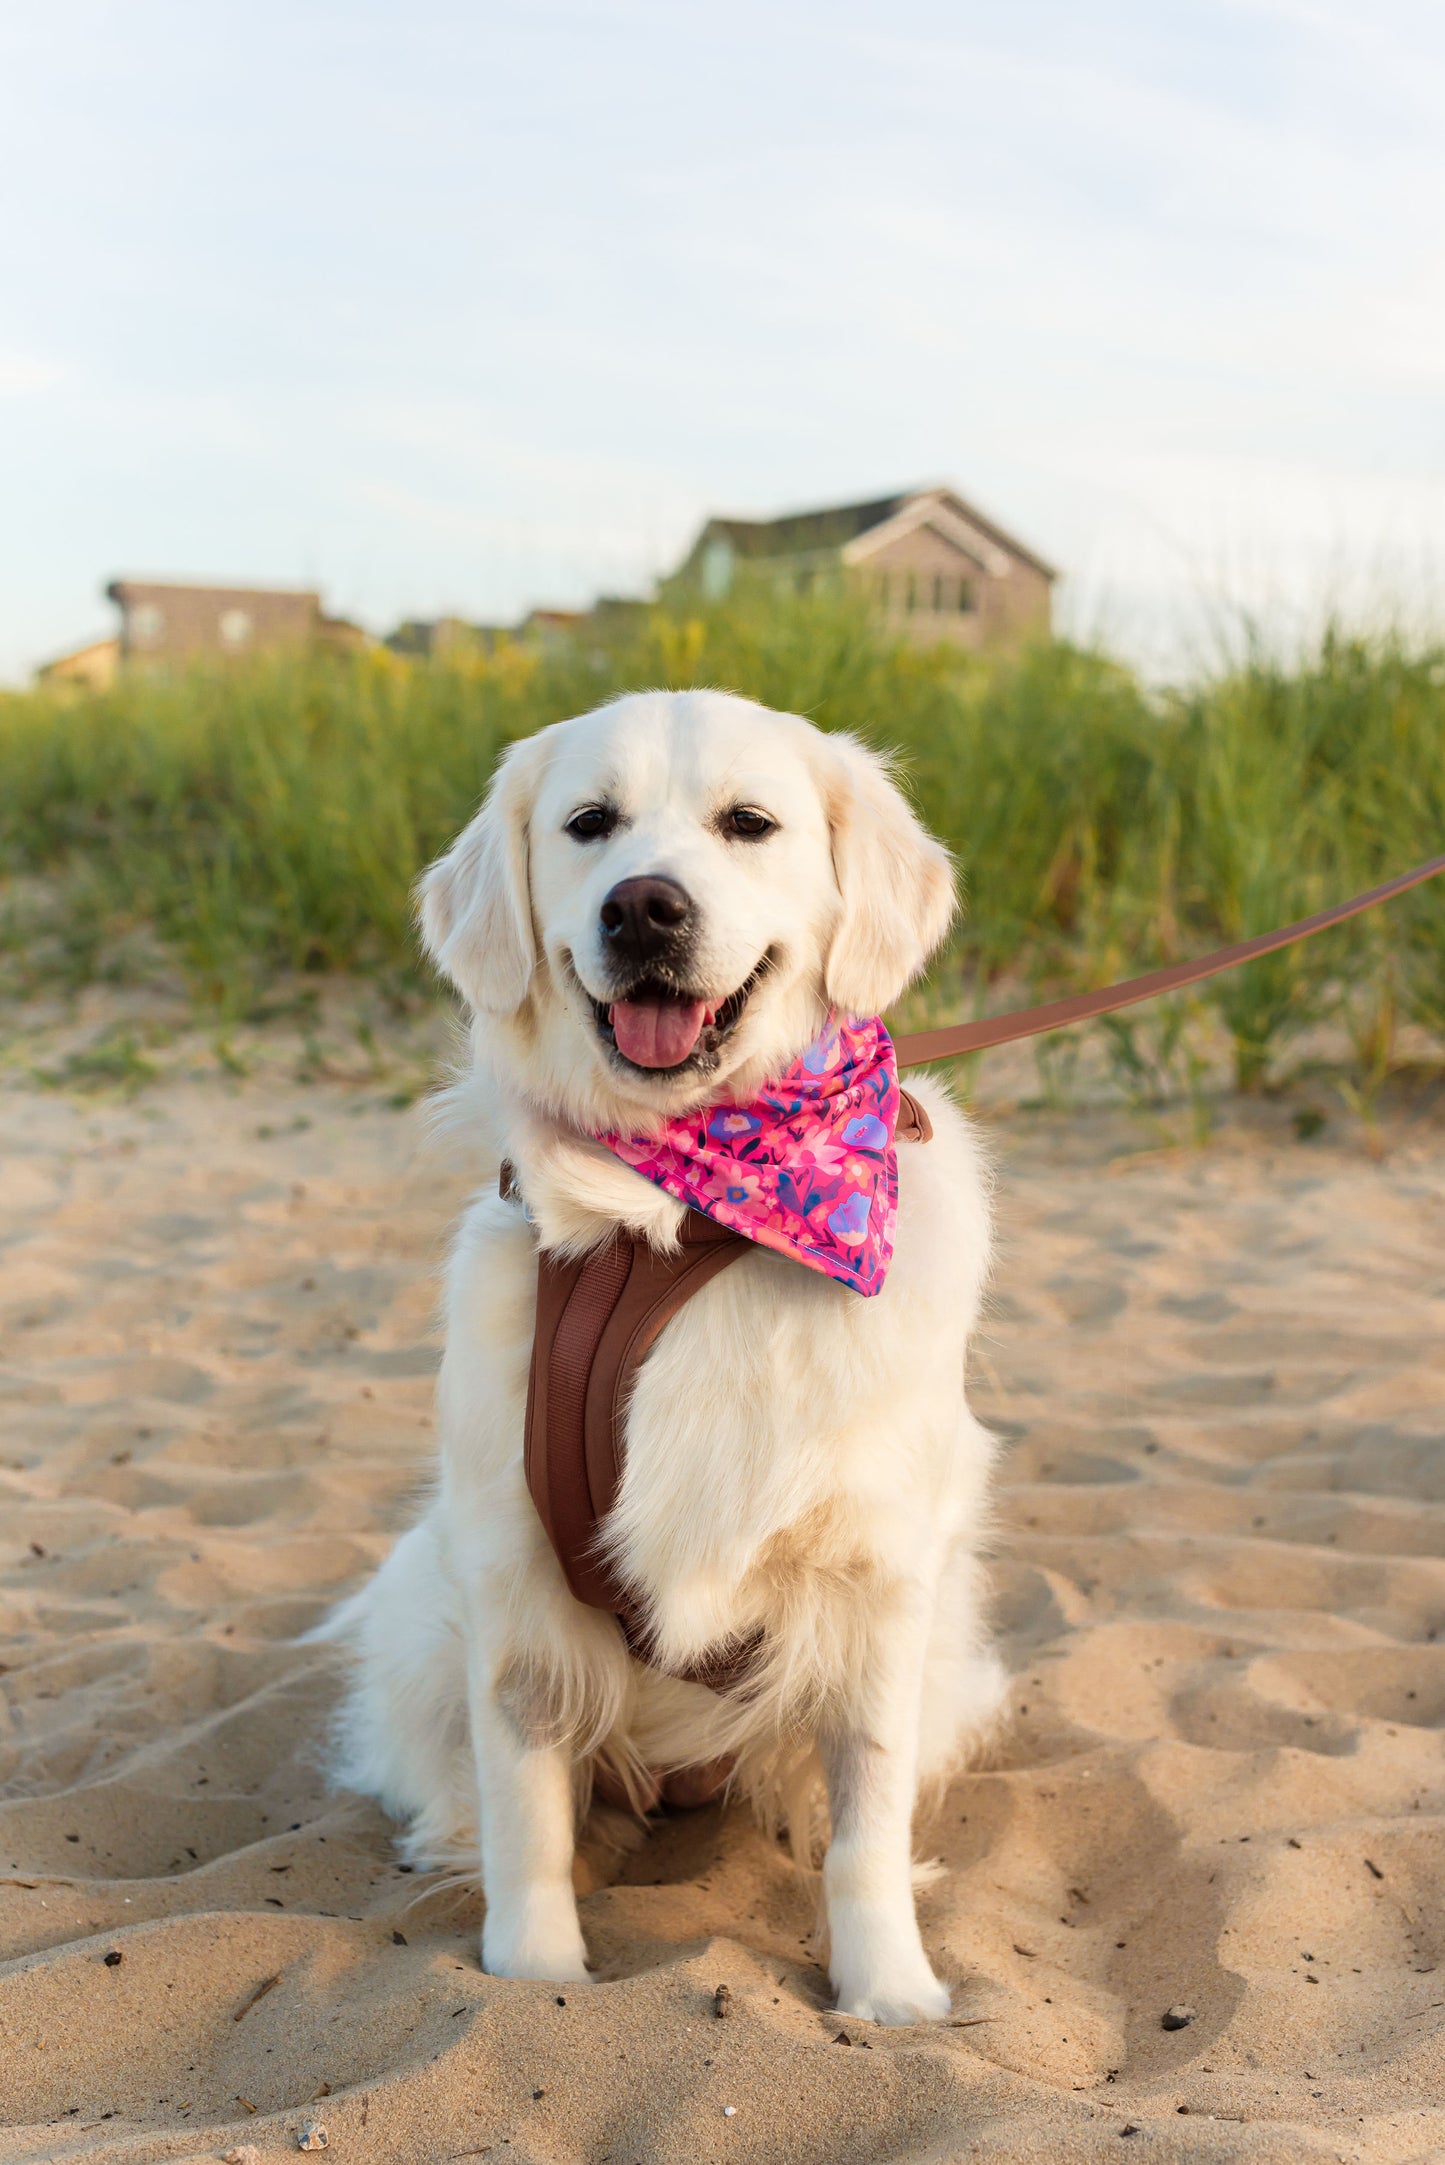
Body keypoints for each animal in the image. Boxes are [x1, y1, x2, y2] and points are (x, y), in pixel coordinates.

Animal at [322, 684, 1005, 2017]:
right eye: (589, 823)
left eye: (748, 822)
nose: (642, 905)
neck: (687, 1212)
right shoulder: (515, 1572)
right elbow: (526, 1809)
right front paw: (532, 1974)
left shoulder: (875, 1578)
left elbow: (866, 1818)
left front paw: (886, 1989)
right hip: (422, 1607)